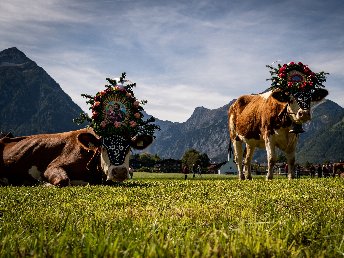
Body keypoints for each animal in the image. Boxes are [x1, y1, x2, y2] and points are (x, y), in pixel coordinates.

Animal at [0, 128, 152, 185]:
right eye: (103, 147)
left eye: (129, 148)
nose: (119, 171)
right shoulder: (52, 167)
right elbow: (63, 180)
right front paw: (44, 183)